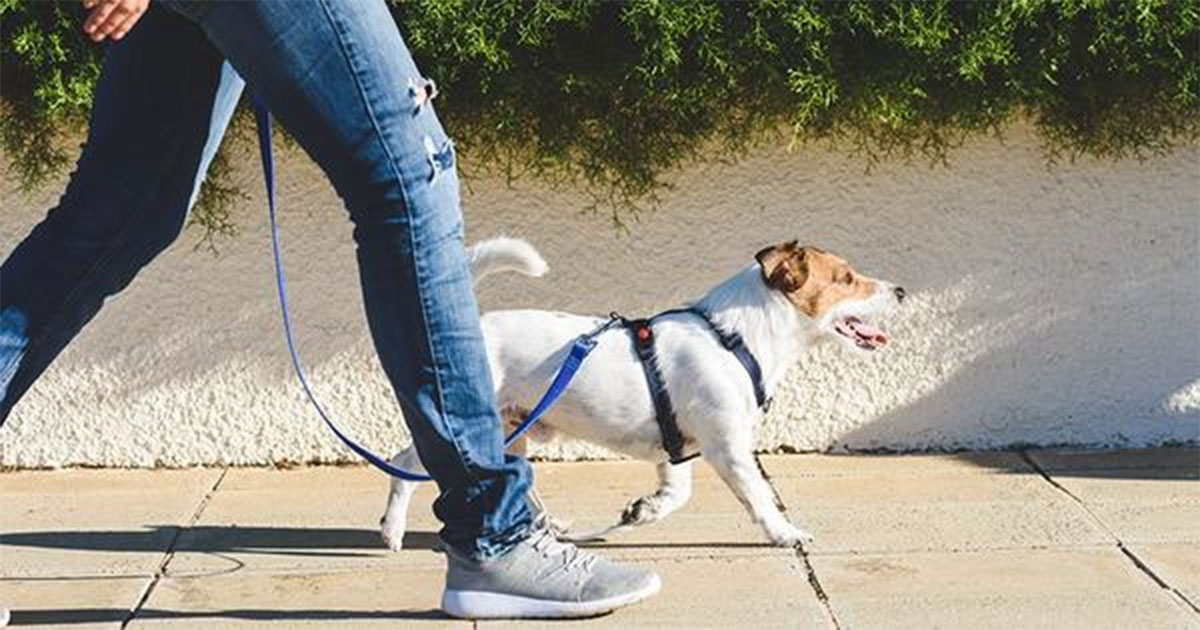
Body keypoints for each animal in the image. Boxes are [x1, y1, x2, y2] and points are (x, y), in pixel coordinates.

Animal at [379, 235, 902, 544]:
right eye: (847, 278)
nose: (899, 291)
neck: (735, 337)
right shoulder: (728, 448)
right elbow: (758, 497)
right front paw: (785, 532)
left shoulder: (677, 450)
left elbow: (676, 494)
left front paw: (644, 511)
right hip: (470, 426)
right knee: (404, 465)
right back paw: (392, 530)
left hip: (513, 430)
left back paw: (550, 527)